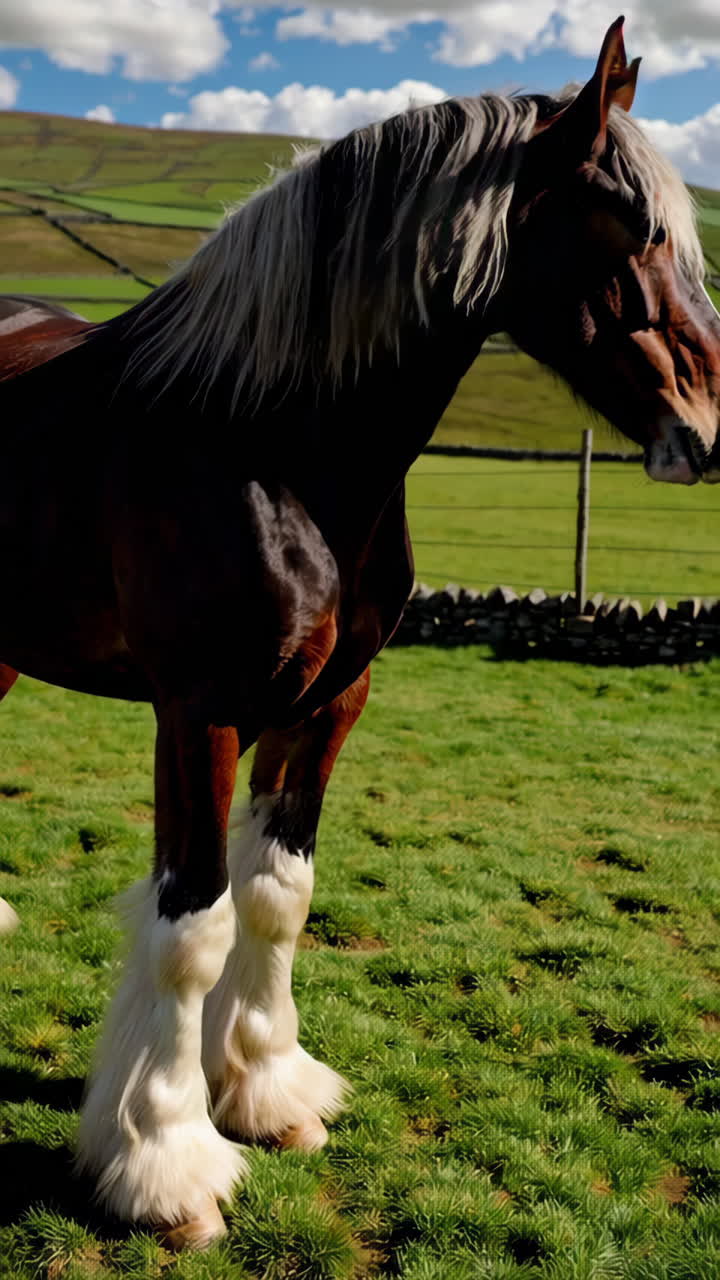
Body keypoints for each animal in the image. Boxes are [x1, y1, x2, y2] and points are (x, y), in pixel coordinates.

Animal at [1, 16, 719, 1249]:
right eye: (634, 226)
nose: (711, 425)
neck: (266, 438)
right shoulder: (200, 710)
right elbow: (193, 923)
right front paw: (166, 1163)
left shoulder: (331, 701)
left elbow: (277, 895)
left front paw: (265, 1090)